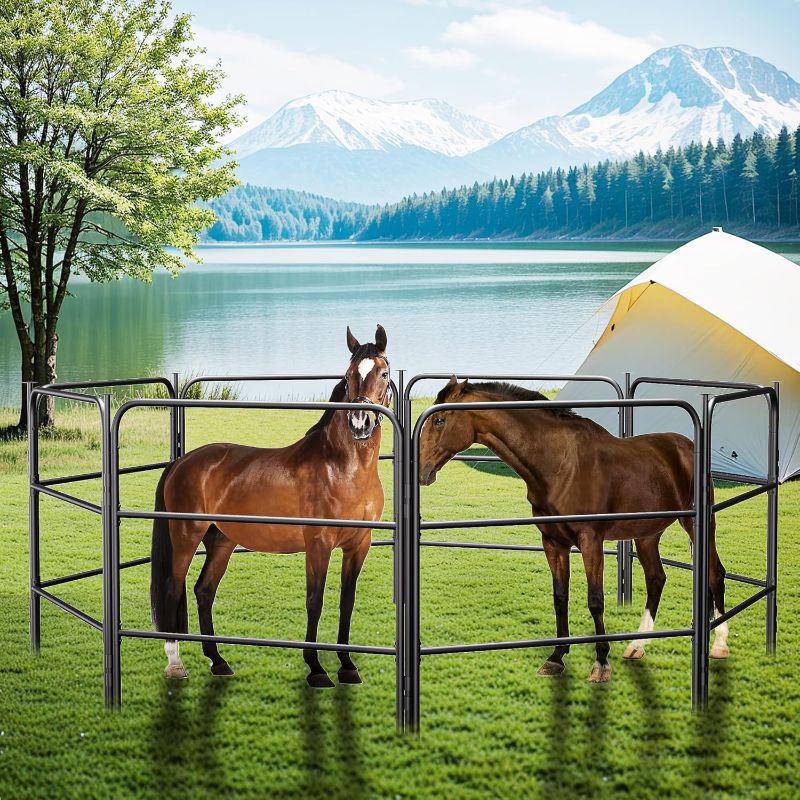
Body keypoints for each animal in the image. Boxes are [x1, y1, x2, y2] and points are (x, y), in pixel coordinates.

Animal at [150, 325, 391, 688]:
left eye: (383, 372)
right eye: (349, 376)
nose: (360, 423)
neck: (342, 468)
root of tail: (181, 462)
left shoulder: (359, 544)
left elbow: (346, 602)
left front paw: (348, 665)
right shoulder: (318, 544)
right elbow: (315, 601)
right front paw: (316, 668)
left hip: (221, 540)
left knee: (203, 591)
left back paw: (218, 660)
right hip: (185, 538)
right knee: (172, 590)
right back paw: (175, 664)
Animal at [418, 377, 729, 684]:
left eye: (440, 420)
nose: (421, 470)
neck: (560, 465)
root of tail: (688, 445)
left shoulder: (590, 540)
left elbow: (595, 600)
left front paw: (601, 662)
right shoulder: (553, 542)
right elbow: (560, 597)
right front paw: (556, 657)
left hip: (697, 524)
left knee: (715, 572)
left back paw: (719, 645)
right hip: (647, 534)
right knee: (656, 579)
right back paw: (636, 646)